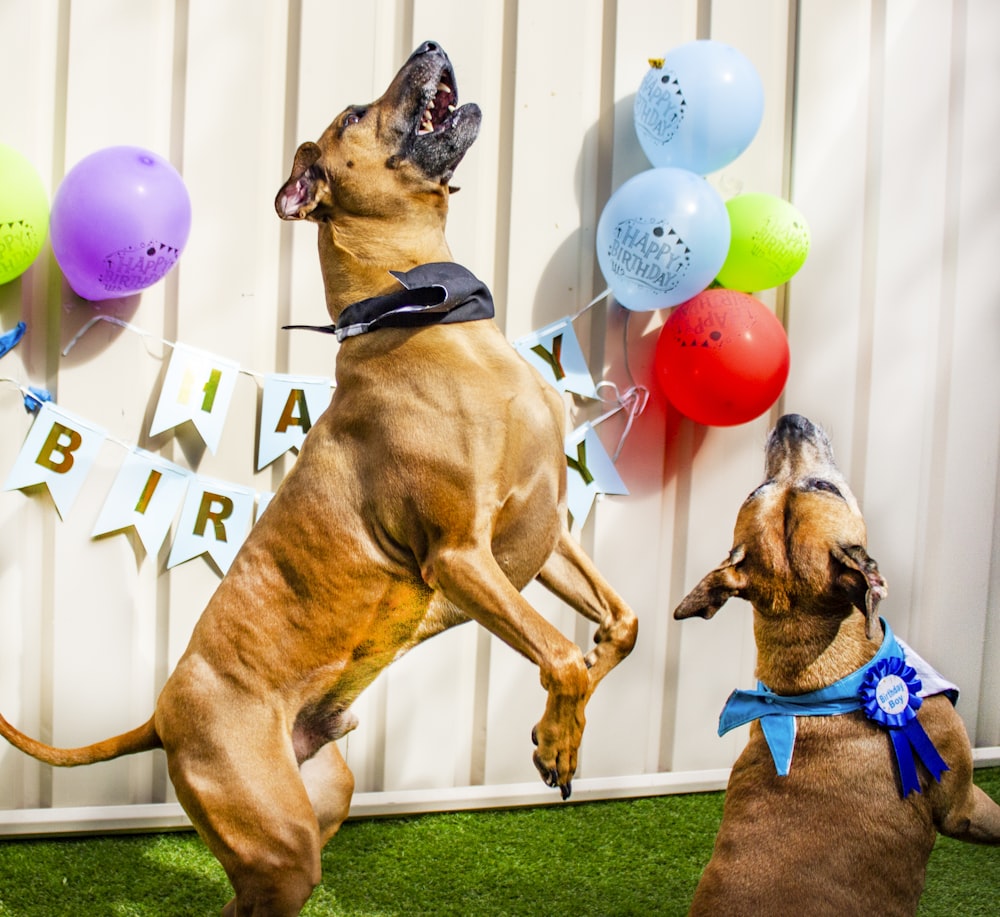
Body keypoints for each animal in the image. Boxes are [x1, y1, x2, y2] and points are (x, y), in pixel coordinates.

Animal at [0, 39, 636, 912]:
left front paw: (555, 727)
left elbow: (619, 628)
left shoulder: (546, 533)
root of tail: (163, 715)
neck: (425, 318)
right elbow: (561, 653)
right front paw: (559, 742)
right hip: (278, 838)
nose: (429, 44)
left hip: (313, 806)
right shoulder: (459, 556)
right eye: (353, 115)